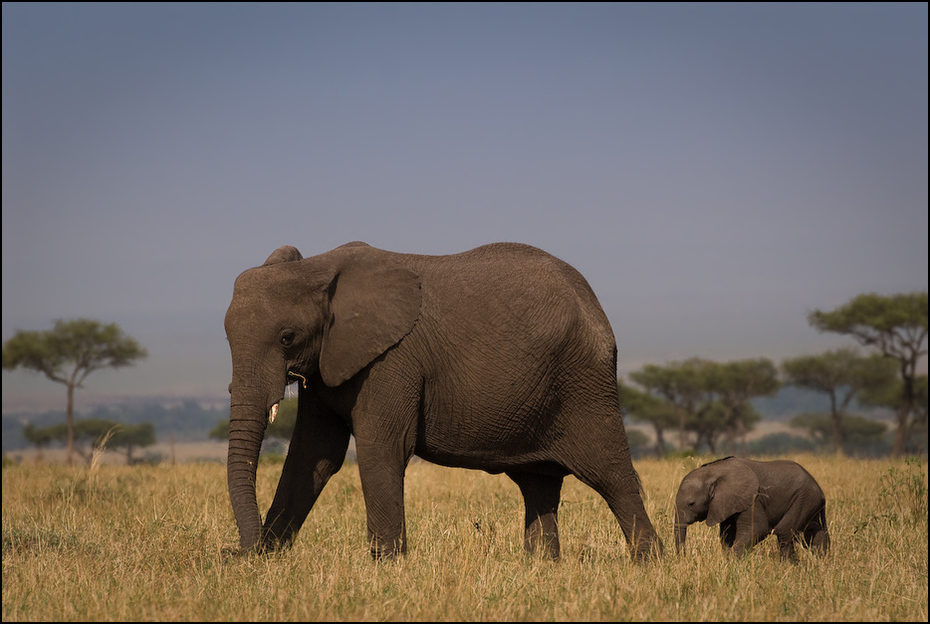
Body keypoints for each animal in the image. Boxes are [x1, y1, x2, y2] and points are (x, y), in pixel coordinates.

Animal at [225, 240, 660, 560]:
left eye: (287, 338)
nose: (239, 552)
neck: (317, 268)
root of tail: (593, 303)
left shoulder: (392, 359)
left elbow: (381, 447)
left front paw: (386, 565)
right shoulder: (326, 362)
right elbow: (313, 455)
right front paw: (268, 558)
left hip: (585, 382)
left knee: (611, 475)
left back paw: (648, 562)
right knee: (538, 484)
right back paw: (541, 565)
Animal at [676, 456, 828, 560]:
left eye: (691, 504)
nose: (683, 559)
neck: (713, 471)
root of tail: (820, 490)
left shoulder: (752, 499)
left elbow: (757, 528)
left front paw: (732, 562)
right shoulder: (727, 503)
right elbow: (727, 534)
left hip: (804, 498)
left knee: (784, 531)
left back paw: (789, 566)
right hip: (808, 502)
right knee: (813, 531)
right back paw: (820, 563)